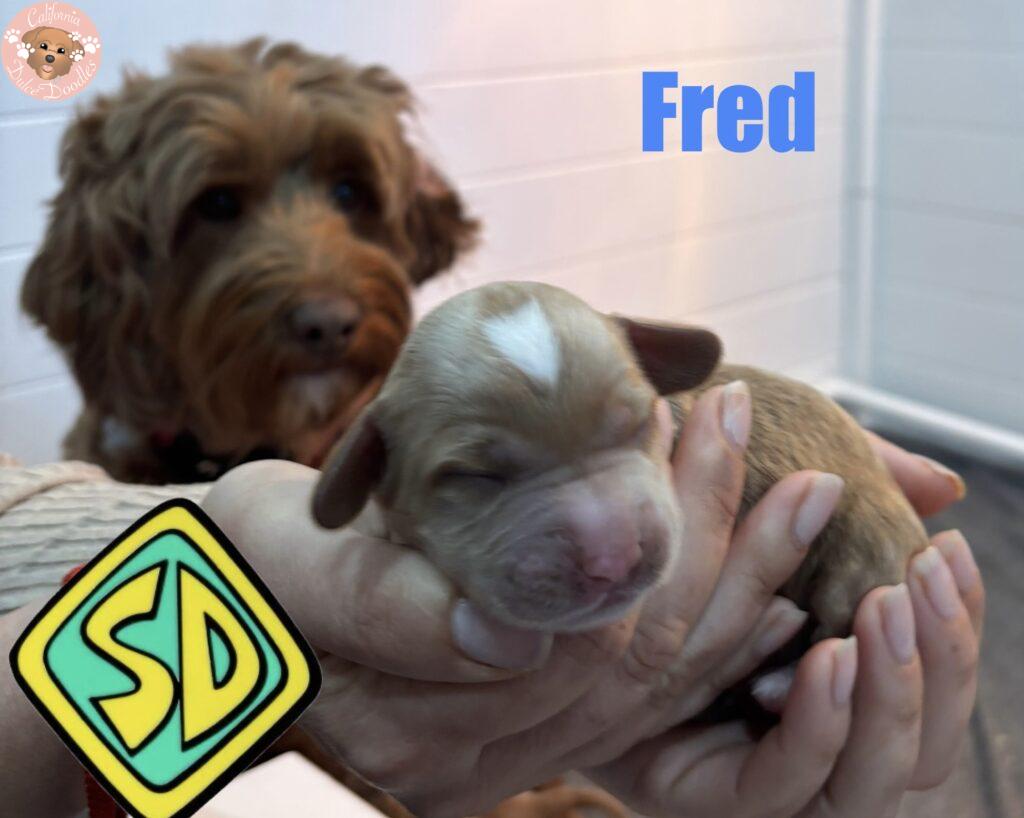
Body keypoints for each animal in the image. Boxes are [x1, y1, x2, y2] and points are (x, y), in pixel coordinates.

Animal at [313, 281, 929, 702]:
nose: (612, 557)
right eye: (475, 476)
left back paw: (780, 683)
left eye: (639, 423)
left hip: (862, 556)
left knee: (844, 625)